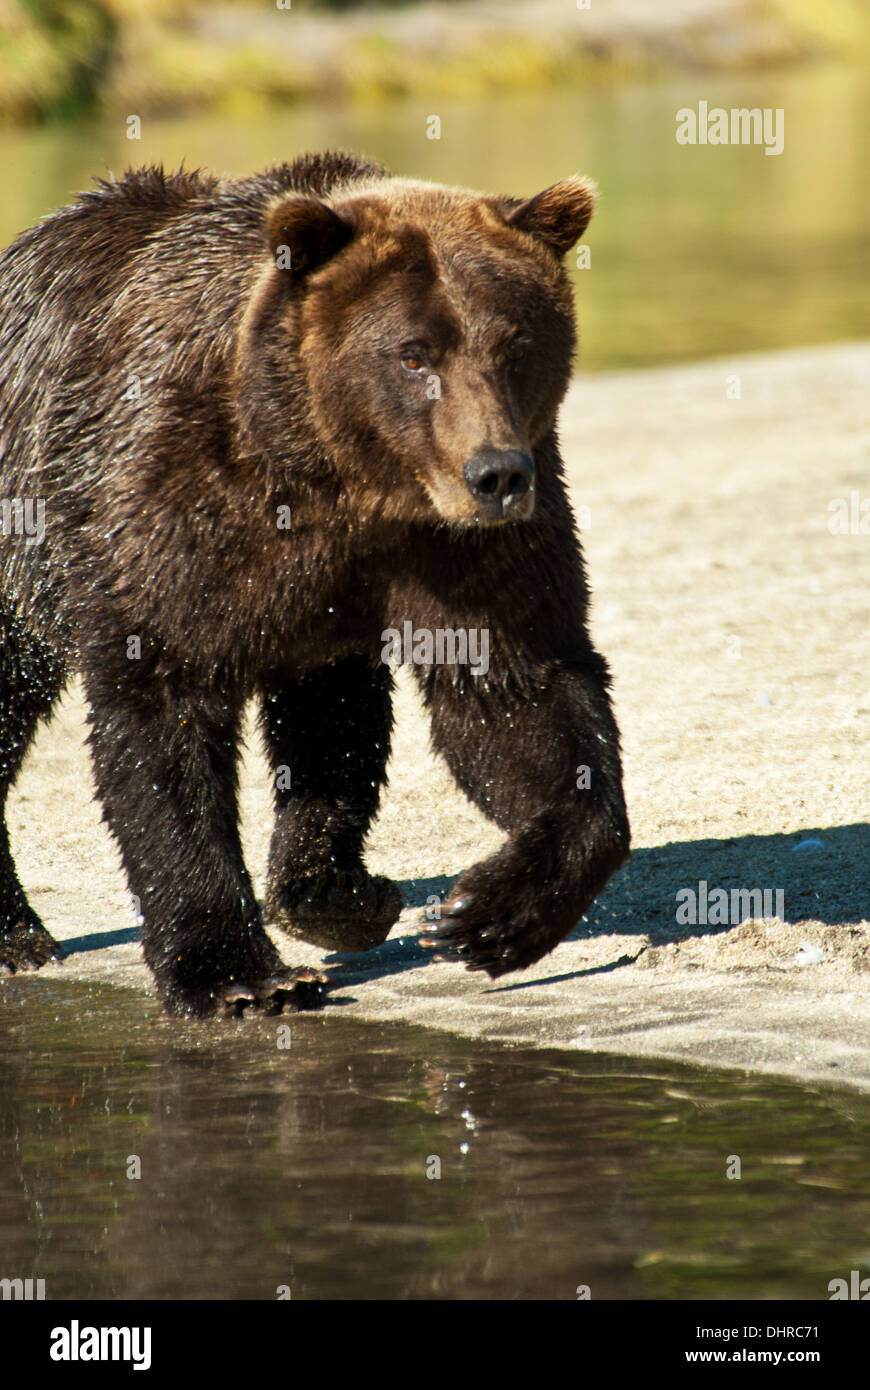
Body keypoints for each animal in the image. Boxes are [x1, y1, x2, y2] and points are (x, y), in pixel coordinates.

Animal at [0, 151, 630, 1017]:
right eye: (413, 354)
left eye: (515, 345)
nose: (496, 475)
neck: (337, 477)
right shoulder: (167, 500)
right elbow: (161, 712)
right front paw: (236, 974)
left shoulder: (455, 551)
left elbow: (515, 688)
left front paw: (482, 914)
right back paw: (18, 935)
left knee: (332, 709)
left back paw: (333, 889)